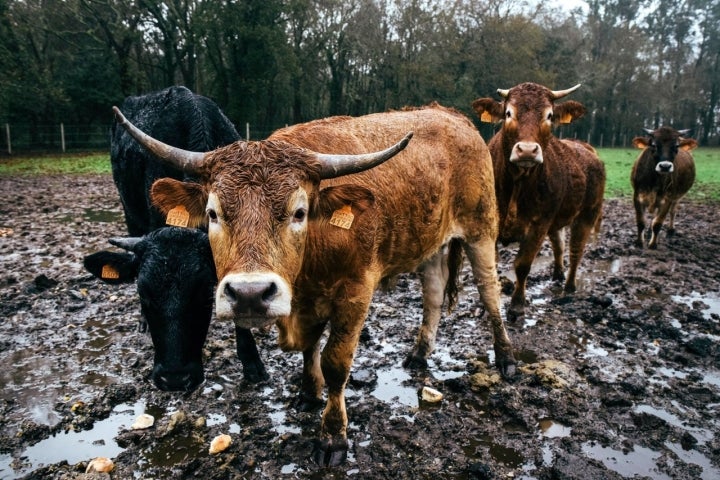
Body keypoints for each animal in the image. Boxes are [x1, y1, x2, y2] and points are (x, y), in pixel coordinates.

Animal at [112, 103, 516, 466]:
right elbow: (309, 349)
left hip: (482, 229)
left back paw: (506, 358)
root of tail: (453, 117)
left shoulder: (355, 295)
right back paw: (419, 353)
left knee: (489, 292)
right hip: (429, 243)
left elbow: (335, 362)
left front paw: (333, 437)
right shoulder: (306, 301)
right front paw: (308, 394)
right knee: (432, 293)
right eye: (213, 213)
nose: (249, 293)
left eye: (299, 212)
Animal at [472, 83, 608, 322]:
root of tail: (586, 148)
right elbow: (489, 267)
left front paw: (517, 304)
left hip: (588, 213)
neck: (517, 182)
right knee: (559, 244)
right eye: (509, 113)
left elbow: (523, 265)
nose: (527, 150)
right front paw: (488, 303)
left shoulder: (539, 225)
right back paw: (557, 274)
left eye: (549, 115)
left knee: (576, 250)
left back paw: (569, 286)